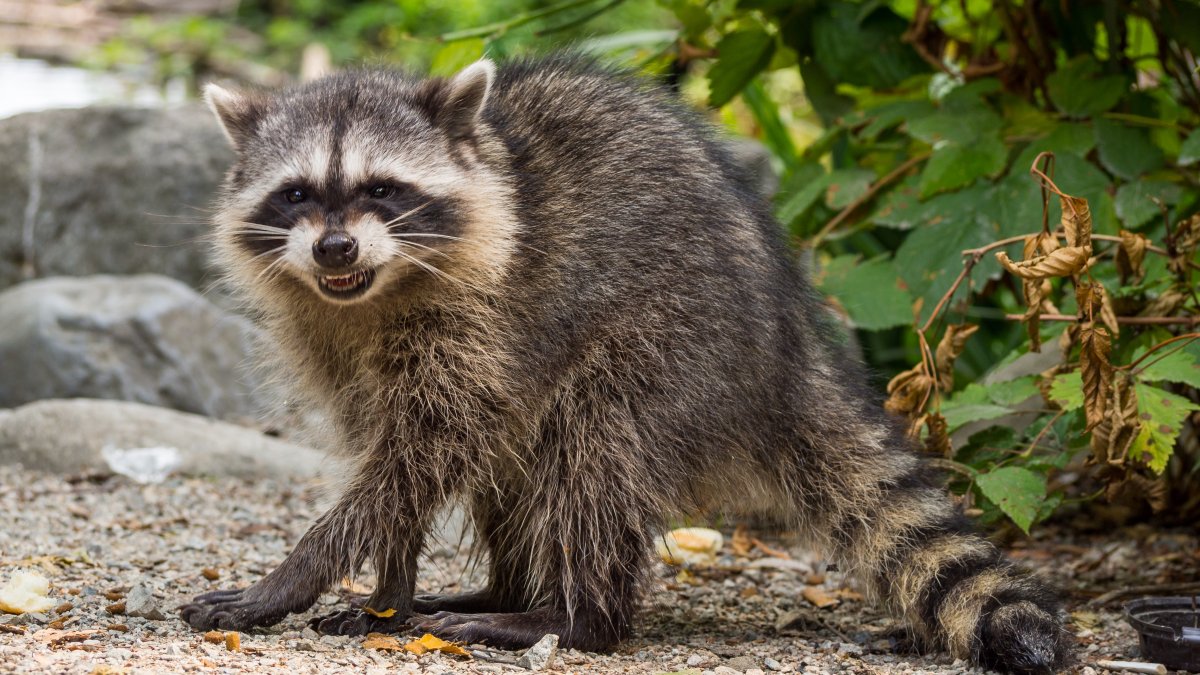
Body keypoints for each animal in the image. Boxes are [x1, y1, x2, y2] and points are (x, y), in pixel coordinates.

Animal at [182, 55, 1075, 667]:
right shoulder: (333, 340)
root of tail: (788, 346)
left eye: (382, 189)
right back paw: (502, 588)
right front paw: (387, 592)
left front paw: (296, 575)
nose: (334, 247)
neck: (373, 292)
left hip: (673, 342)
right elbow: (397, 460)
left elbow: (421, 456)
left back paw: (565, 617)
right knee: (524, 467)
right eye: (297, 194)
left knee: (593, 450)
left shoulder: (483, 322)